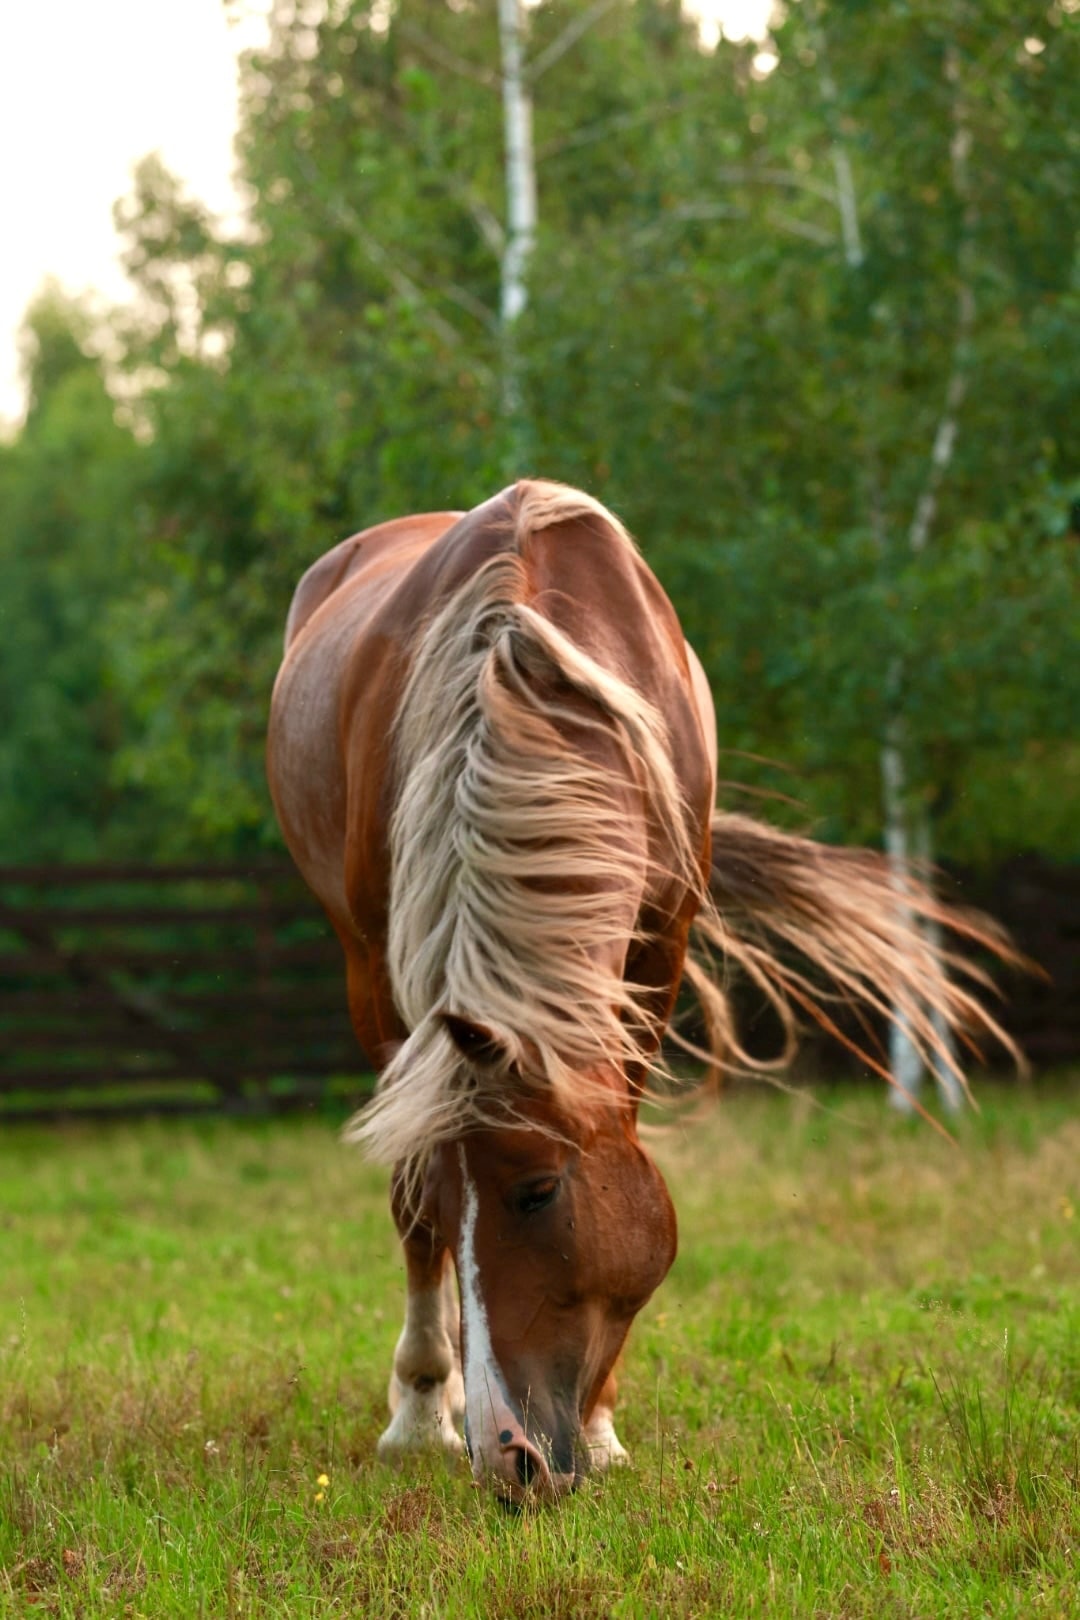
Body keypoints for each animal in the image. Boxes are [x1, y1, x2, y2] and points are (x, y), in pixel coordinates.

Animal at [267, 480, 1014, 1502]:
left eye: (538, 1192)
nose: (511, 1458)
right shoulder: (388, 976)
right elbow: (414, 1204)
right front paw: (422, 1410)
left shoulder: (657, 954)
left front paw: (604, 1421)